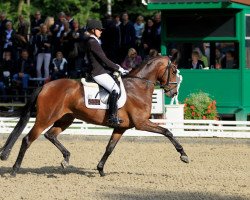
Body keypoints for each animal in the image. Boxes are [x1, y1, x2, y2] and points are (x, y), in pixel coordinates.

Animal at [0, 55, 188, 176]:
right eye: (174, 71)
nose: (173, 92)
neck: (138, 86)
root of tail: (45, 86)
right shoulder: (141, 123)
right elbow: (168, 132)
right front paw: (183, 155)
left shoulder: (121, 127)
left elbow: (110, 148)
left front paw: (101, 169)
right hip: (45, 118)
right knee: (28, 139)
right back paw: (15, 169)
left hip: (66, 118)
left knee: (50, 135)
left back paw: (66, 159)